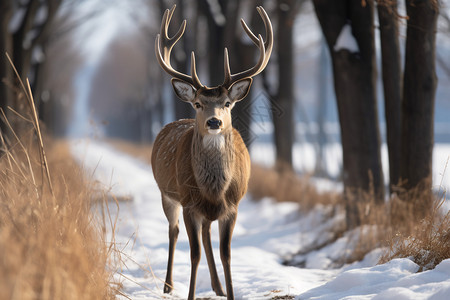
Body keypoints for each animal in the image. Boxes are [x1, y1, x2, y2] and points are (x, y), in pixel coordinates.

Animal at [151, 5, 272, 300]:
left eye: (227, 103)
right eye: (197, 103)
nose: (214, 122)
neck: (215, 188)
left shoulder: (232, 206)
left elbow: (226, 254)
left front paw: (230, 293)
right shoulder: (188, 203)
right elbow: (193, 254)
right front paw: (190, 295)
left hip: (205, 211)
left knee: (206, 235)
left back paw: (217, 287)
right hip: (167, 195)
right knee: (173, 231)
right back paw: (168, 286)